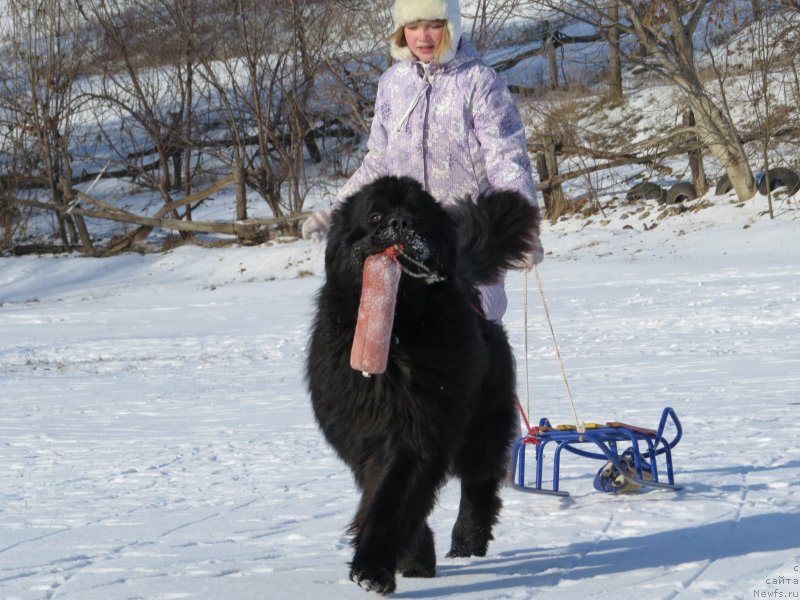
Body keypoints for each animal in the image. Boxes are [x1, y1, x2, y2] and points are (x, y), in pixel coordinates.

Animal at [306, 175, 544, 596]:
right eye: (375, 216)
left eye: (418, 216)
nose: (400, 223)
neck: (398, 335)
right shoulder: (362, 435)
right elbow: (380, 491)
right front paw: (414, 559)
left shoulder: (419, 427)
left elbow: (395, 495)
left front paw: (372, 569)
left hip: (485, 416)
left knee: (480, 480)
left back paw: (466, 543)